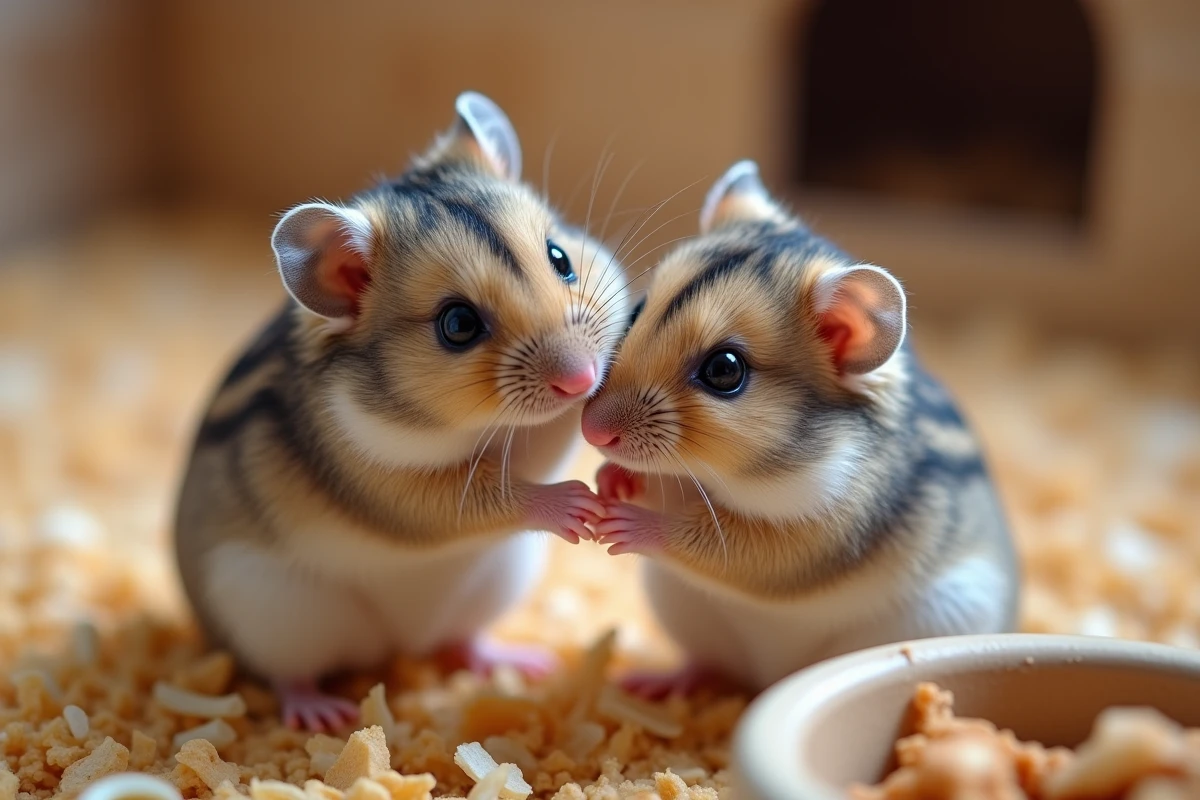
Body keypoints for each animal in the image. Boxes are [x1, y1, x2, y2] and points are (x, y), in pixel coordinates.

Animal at [173, 92, 630, 731]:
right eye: (457, 325)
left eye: (561, 256)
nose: (581, 377)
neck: (482, 427)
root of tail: (400, 643)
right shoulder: (393, 489)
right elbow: (483, 495)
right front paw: (579, 508)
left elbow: (555, 438)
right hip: (272, 612)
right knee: (288, 674)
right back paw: (320, 713)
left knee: (459, 641)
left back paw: (521, 662)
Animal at [582, 160, 1019, 696]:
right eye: (638, 310)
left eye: (725, 370)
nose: (591, 432)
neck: (732, 476)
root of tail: (770, 676)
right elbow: (660, 487)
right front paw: (609, 482)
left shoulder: (823, 533)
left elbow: (722, 545)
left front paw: (622, 523)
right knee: (711, 664)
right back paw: (657, 685)